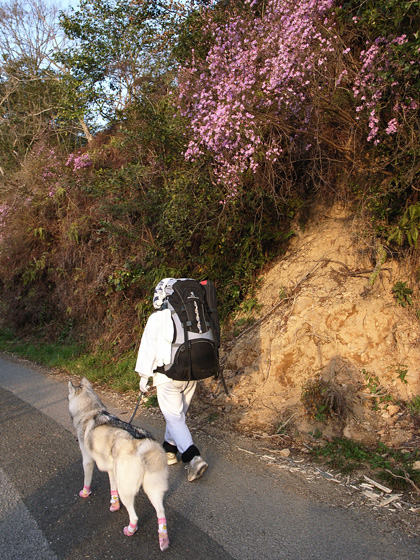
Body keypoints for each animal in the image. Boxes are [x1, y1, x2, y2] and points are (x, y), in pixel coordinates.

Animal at [67, 376, 169, 552]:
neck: (92, 411)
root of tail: (145, 444)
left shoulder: (87, 461)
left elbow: (87, 480)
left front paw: (85, 493)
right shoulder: (111, 470)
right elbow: (112, 488)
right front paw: (114, 505)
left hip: (126, 490)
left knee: (134, 516)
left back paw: (131, 529)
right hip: (152, 489)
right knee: (161, 512)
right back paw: (163, 540)